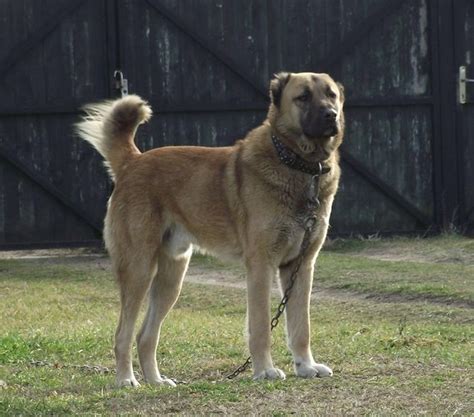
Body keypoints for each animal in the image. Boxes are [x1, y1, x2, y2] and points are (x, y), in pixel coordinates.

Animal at [76, 70, 346, 386]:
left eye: (331, 95)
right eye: (303, 96)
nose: (331, 115)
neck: (299, 165)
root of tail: (134, 161)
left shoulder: (300, 267)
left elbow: (301, 327)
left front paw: (305, 366)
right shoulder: (261, 266)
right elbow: (260, 327)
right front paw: (264, 370)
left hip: (171, 278)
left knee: (145, 336)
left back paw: (156, 381)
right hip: (139, 269)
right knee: (123, 334)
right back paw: (125, 380)